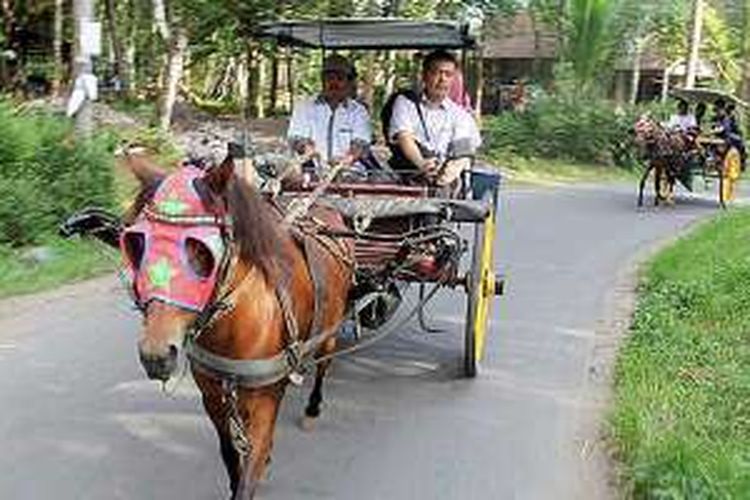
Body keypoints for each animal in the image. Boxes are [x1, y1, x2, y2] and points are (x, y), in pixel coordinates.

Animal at [119, 150, 352, 498]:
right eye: (137, 245)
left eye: (202, 251)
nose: (156, 355)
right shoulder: (212, 394)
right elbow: (230, 452)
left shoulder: (265, 397)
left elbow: (249, 473)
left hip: (331, 327)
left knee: (325, 362)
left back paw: (313, 408)